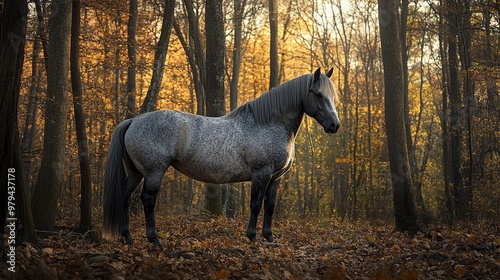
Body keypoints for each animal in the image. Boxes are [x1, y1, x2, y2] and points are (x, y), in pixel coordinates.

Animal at [103, 66, 342, 246]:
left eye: (332, 96)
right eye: (318, 94)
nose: (334, 125)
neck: (268, 123)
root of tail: (133, 121)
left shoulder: (275, 178)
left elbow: (270, 206)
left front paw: (269, 238)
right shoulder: (261, 173)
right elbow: (256, 204)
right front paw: (253, 238)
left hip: (136, 172)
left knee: (125, 197)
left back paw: (128, 238)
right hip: (154, 172)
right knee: (148, 200)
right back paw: (154, 240)